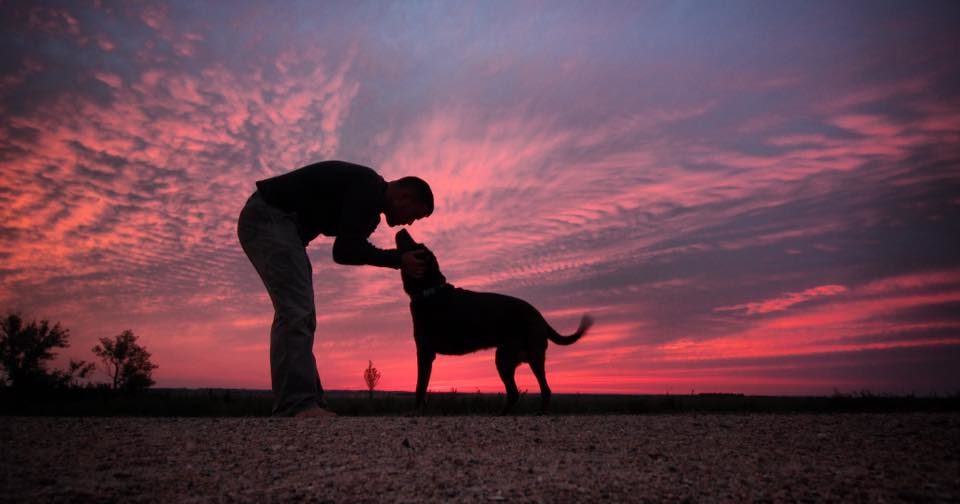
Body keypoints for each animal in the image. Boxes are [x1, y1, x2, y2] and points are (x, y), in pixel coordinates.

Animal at [392, 228, 588, 414]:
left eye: (417, 246)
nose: (402, 229)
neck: (430, 291)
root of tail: (540, 317)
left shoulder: (425, 352)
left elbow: (419, 387)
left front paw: (415, 412)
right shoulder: (426, 352)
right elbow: (422, 387)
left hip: (522, 357)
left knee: (541, 390)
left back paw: (537, 413)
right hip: (509, 357)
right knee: (516, 393)